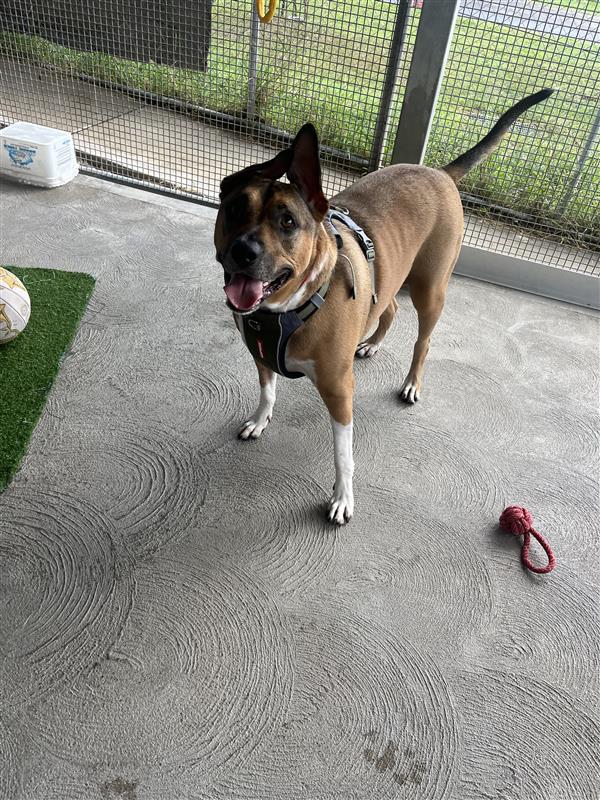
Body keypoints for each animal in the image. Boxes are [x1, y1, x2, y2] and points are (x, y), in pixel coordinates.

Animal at [214, 89, 553, 524]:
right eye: (235, 209)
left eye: (288, 222)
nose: (244, 252)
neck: (289, 307)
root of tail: (440, 172)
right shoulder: (261, 358)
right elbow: (267, 391)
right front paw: (260, 420)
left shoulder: (339, 390)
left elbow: (343, 454)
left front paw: (343, 496)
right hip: (393, 274)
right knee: (389, 308)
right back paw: (372, 342)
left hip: (430, 289)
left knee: (423, 340)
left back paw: (411, 382)